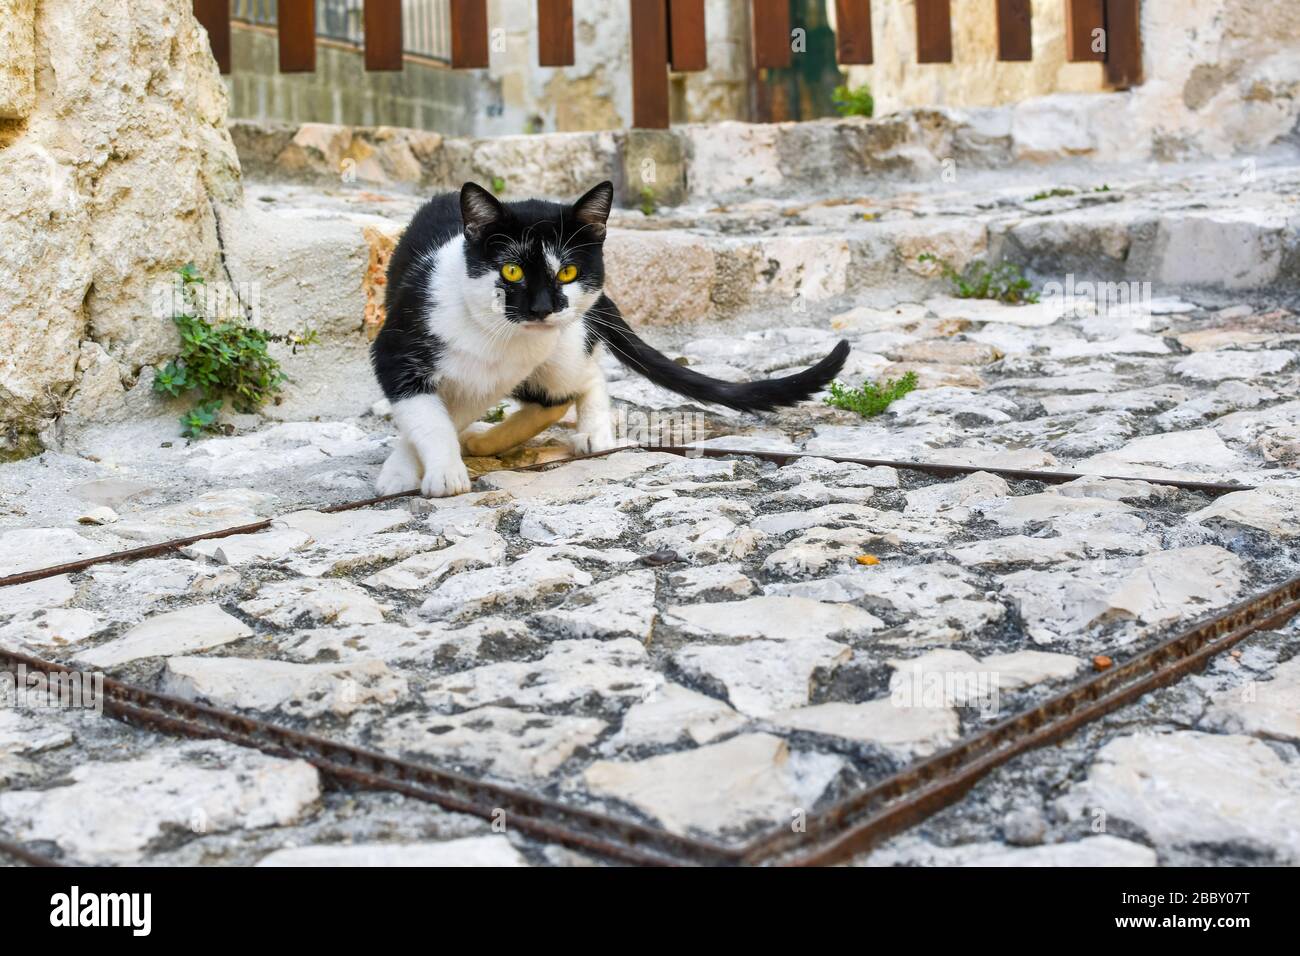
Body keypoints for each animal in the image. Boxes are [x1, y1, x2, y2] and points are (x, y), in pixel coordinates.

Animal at [371, 179, 847, 496]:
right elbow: (429, 417)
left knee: (578, 382)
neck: (489, 333)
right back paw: (485, 440)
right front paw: (424, 469)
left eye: (568, 272)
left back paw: (584, 432)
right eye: (511, 270)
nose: (543, 307)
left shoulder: (495, 374)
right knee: (552, 397)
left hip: (562, 346)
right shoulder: (396, 351)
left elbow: (444, 416)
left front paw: (423, 469)